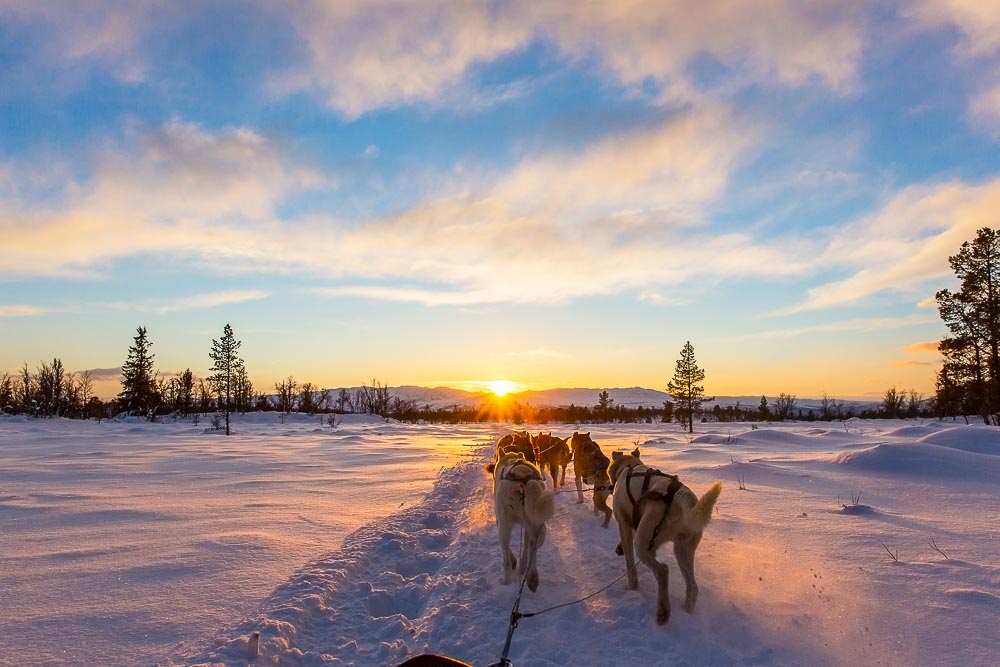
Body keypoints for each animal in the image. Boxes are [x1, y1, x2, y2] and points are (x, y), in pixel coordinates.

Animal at [488, 448, 560, 588]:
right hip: (536, 523)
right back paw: (531, 575)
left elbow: (509, 552)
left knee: (506, 560)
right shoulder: (527, 527)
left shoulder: (499, 521)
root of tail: (524, 481)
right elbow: (526, 545)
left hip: (505, 527)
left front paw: (515, 562)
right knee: (533, 546)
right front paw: (522, 565)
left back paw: (506, 581)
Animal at [604, 448, 724, 628]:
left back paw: (663, 611)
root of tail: (681, 496)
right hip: (682, 550)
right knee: (692, 587)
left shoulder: (624, 524)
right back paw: (686, 611)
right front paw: (619, 548)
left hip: (643, 544)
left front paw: (632, 587)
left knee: (662, 570)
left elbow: (630, 564)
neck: (629, 467)